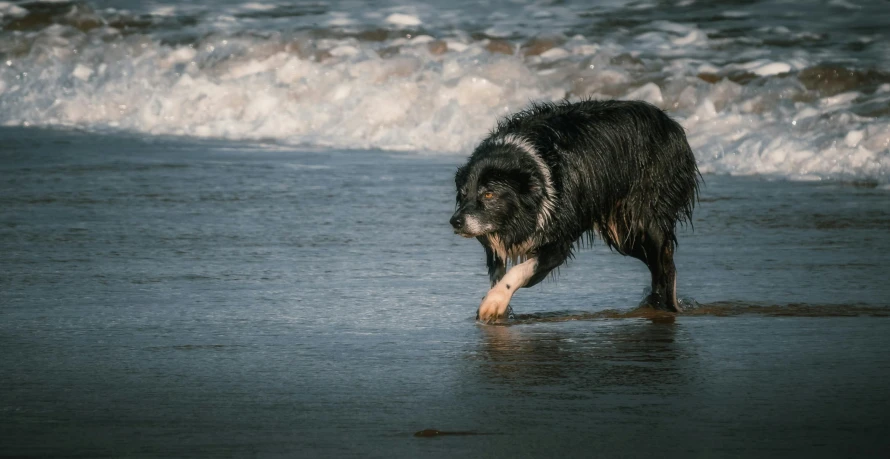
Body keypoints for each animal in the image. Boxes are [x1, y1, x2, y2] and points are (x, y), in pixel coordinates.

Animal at [450, 100, 700, 324]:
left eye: (488, 194)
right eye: (463, 194)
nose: (455, 222)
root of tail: (673, 125)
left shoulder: (558, 243)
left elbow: (519, 271)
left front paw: (494, 302)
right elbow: (500, 273)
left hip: (646, 217)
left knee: (664, 263)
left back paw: (664, 305)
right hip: (623, 234)